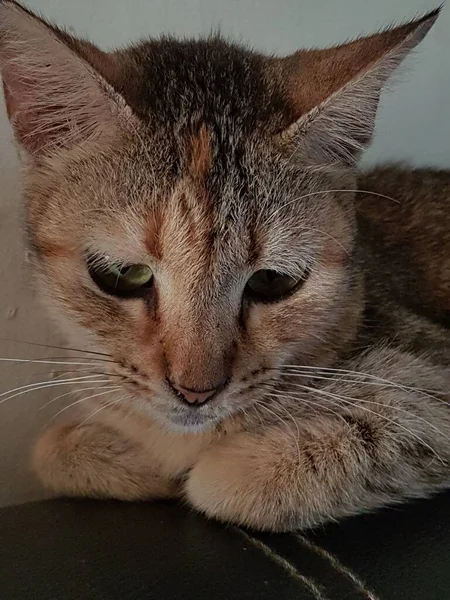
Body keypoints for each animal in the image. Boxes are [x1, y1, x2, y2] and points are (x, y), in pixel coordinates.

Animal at [0, 0, 448, 532]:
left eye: (272, 281)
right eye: (123, 274)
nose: (196, 392)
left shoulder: (432, 380)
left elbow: (226, 482)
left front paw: (201, 468)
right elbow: (50, 448)